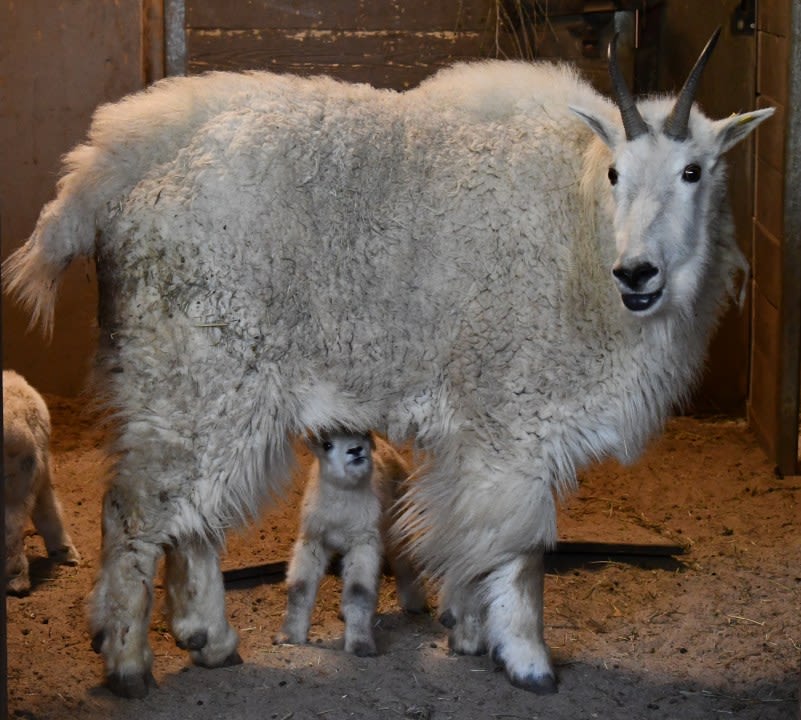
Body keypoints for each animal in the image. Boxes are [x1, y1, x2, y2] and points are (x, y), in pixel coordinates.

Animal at [276, 430, 424, 656]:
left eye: (361, 435)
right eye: (326, 445)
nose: (355, 450)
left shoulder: (364, 542)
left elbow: (358, 590)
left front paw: (360, 645)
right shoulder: (313, 540)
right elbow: (299, 588)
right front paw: (289, 636)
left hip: (397, 522)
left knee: (404, 562)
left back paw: (415, 605)